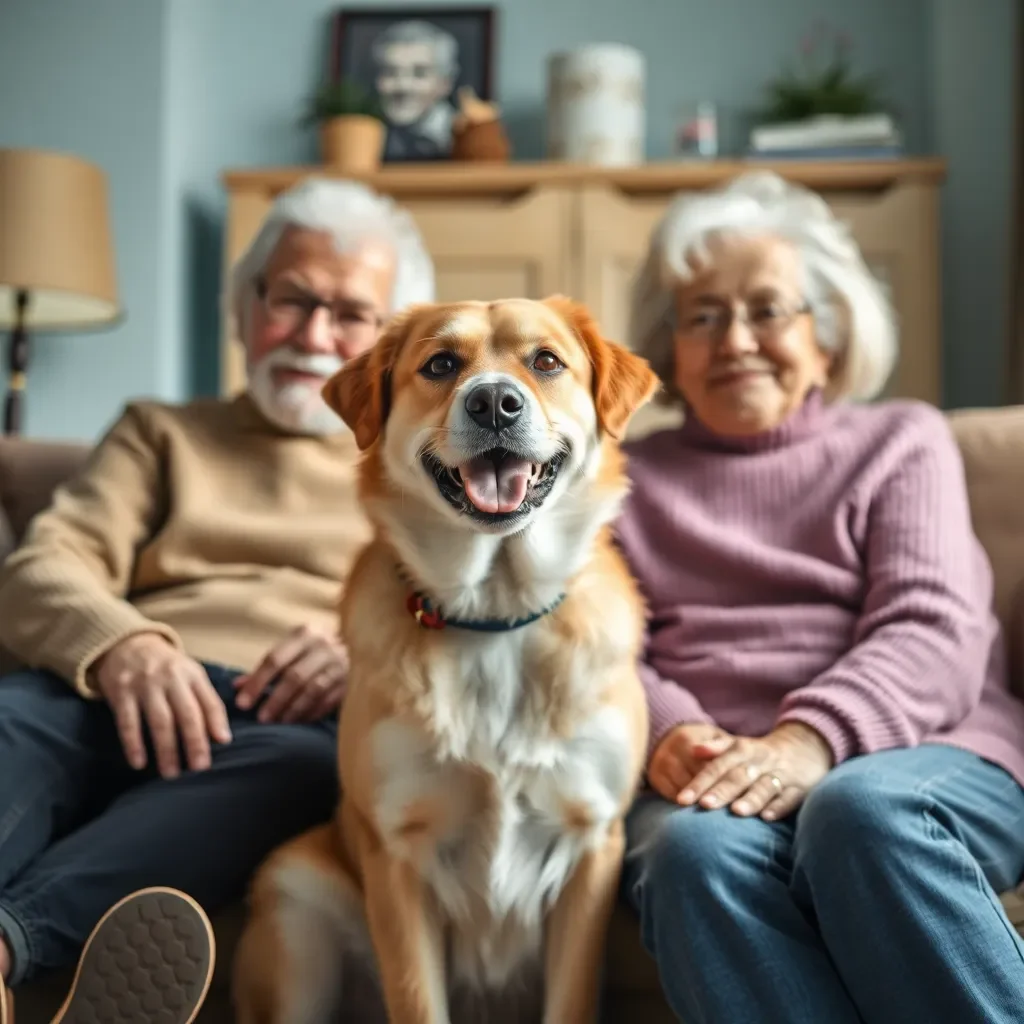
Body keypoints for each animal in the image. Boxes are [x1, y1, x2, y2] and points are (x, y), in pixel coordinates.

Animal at [234, 296, 655, 1024]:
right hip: (295, 899)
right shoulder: (397, 853)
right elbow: (416, 998)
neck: (494, 615)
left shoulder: (591, 845)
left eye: (547, 361)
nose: (494, 404)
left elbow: (571, 998)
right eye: (440, 365)